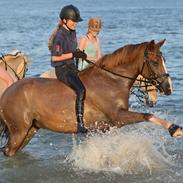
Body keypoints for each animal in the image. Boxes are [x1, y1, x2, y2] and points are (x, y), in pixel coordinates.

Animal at [0, 39, 183, 156]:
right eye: (155, 62)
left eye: (164, 60)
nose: (169, 88)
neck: (112, 80)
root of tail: (7, 92)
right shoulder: (118, 117)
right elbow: (148, 116)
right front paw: (174, 129)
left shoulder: (105, 126)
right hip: (19, 131)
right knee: (8, 151)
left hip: (30, 130)